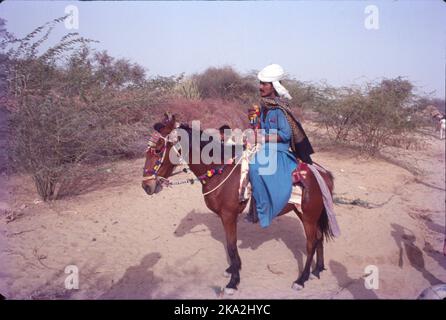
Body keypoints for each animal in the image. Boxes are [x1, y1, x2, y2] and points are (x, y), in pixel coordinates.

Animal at [143, 113, 334, 296]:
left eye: (158, 150)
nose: (146, 186)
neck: (219, 170)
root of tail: (322, 173)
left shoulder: (228, 215)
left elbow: (232, 246)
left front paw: (233, 282)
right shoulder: (225, 217)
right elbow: (231, 246)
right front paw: (233, 269)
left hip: (308, 216)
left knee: (311, 243)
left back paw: (301, 279)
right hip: (308, 215)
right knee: (319, 237)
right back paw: (317, 269)